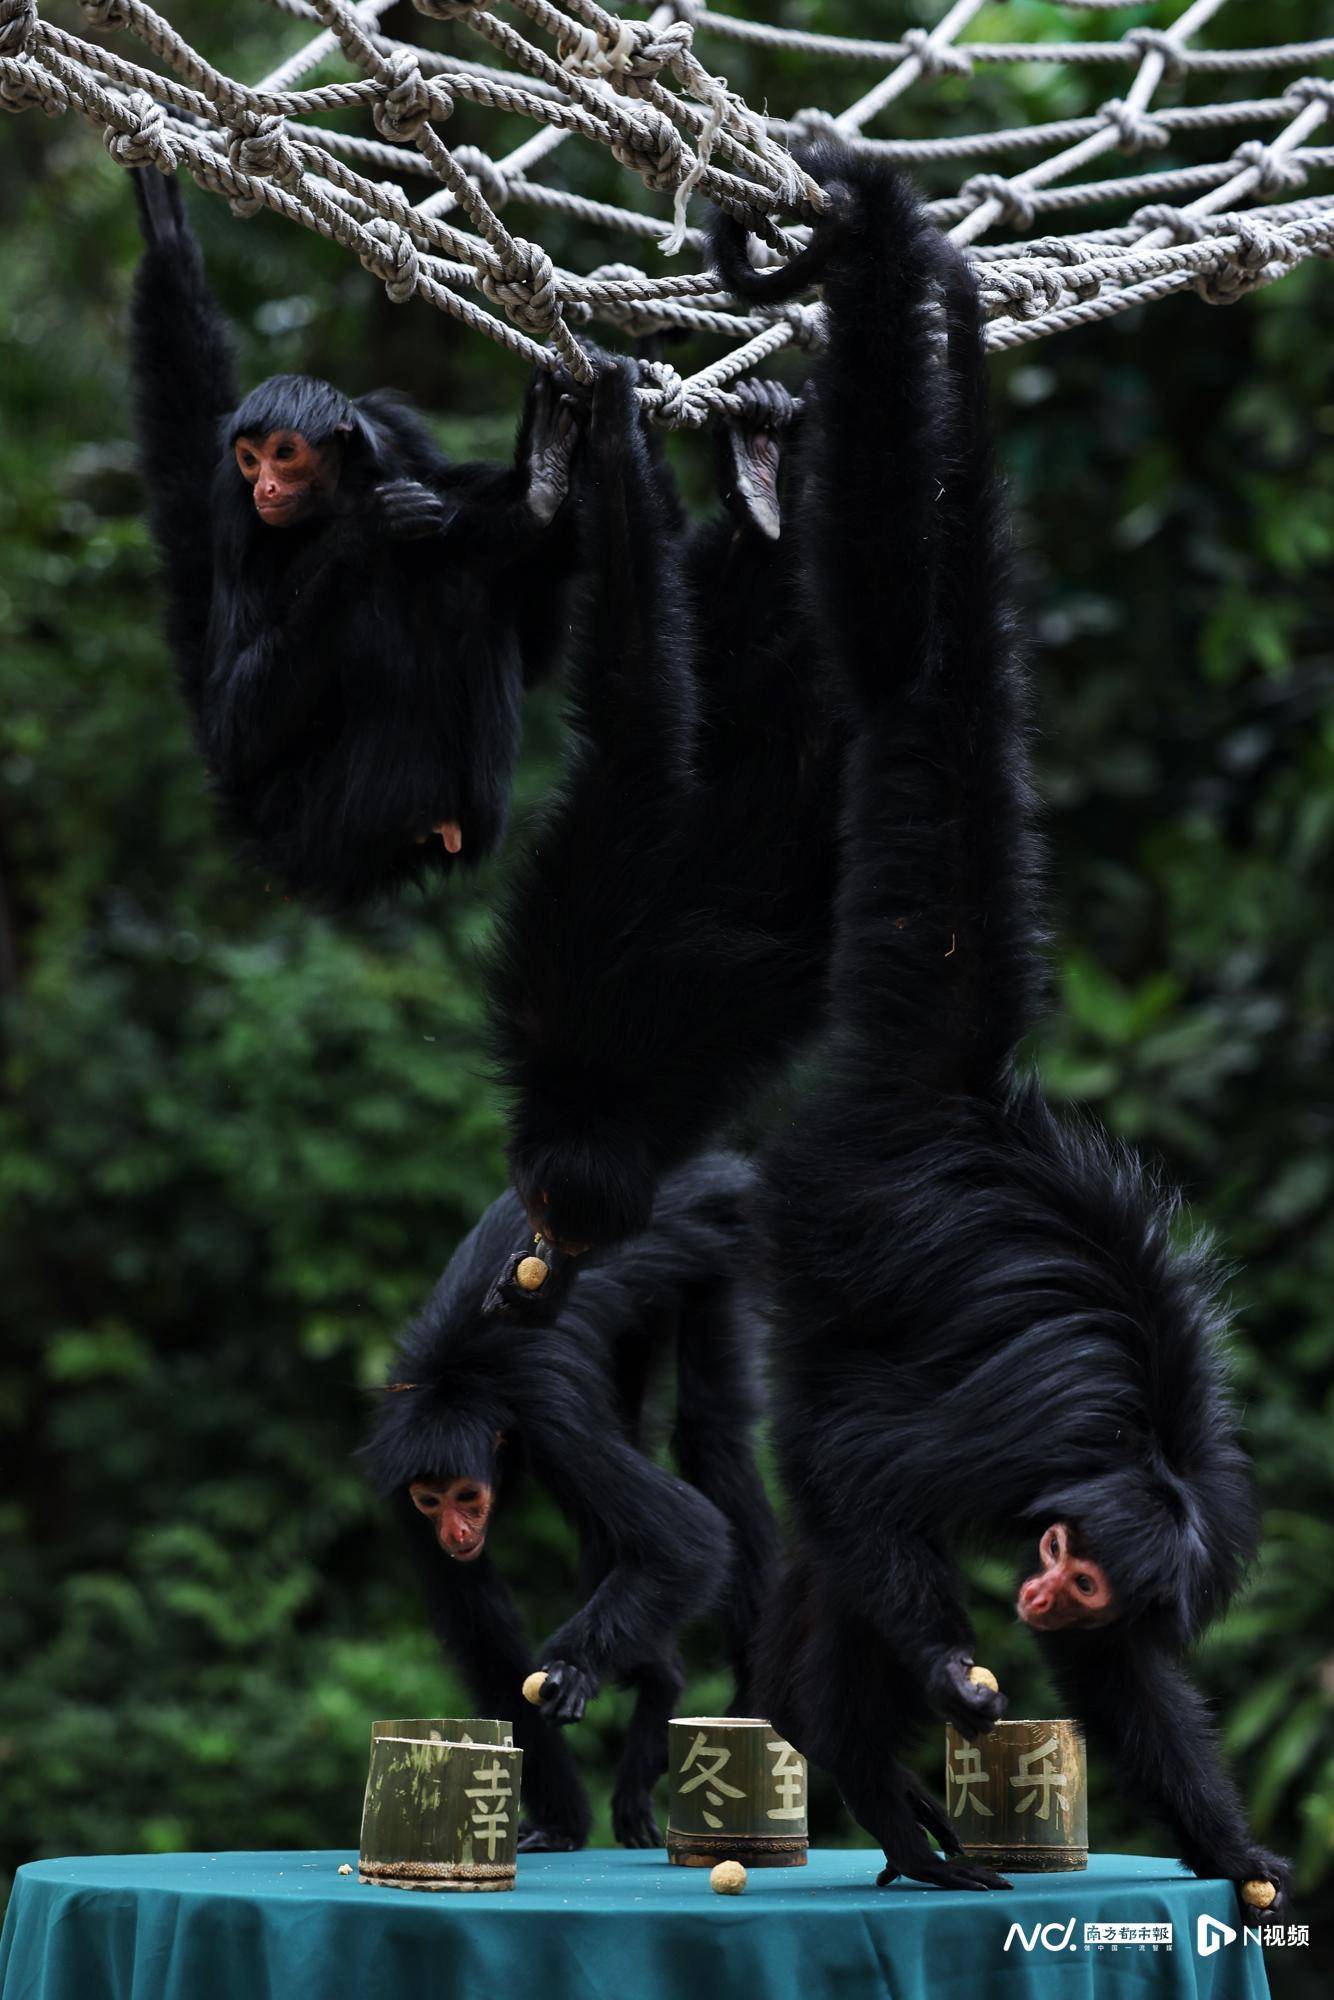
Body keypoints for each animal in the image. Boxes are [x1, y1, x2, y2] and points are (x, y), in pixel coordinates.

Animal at [129, 172, 580, 908]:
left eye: (284, 453)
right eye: (250, 460)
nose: (266, 486)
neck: (336, 492)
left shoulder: (396, 431)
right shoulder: (234, 514)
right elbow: (231, 725)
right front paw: (360, 535)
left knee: (454, 573)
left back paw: (536, 494)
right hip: (325, 813)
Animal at [366, 1160, 784, 1856]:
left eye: (467, 1496)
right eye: (431, 1501)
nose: (454, 1530)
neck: (458, 1379)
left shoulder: (551, 1420)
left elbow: (693, 1538)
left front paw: (571, 1669)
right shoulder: (396, 1483)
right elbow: (480, 1629)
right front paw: (560, 1819)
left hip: (731, 1248)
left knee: (710, 1437)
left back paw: (754, 1699)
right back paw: (661, 1687)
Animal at [488, 352, 844, 1240]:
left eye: (545, 1214)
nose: (544, 1256)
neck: (602, 1091)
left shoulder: (568, 968)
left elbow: (641, 698)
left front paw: (618, 444)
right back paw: (758, 490)